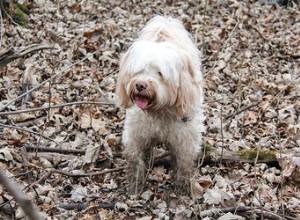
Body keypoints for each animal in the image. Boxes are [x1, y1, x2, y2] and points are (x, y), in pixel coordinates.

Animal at [116, 15, 205, 194]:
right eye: (138, 70)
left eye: (160, 73)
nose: (140, 85)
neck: (159, 111)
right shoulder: (135, 135)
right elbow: (135, 160)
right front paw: (135, 186)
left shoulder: (185, 140)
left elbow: (183, 165)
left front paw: (181, 188)